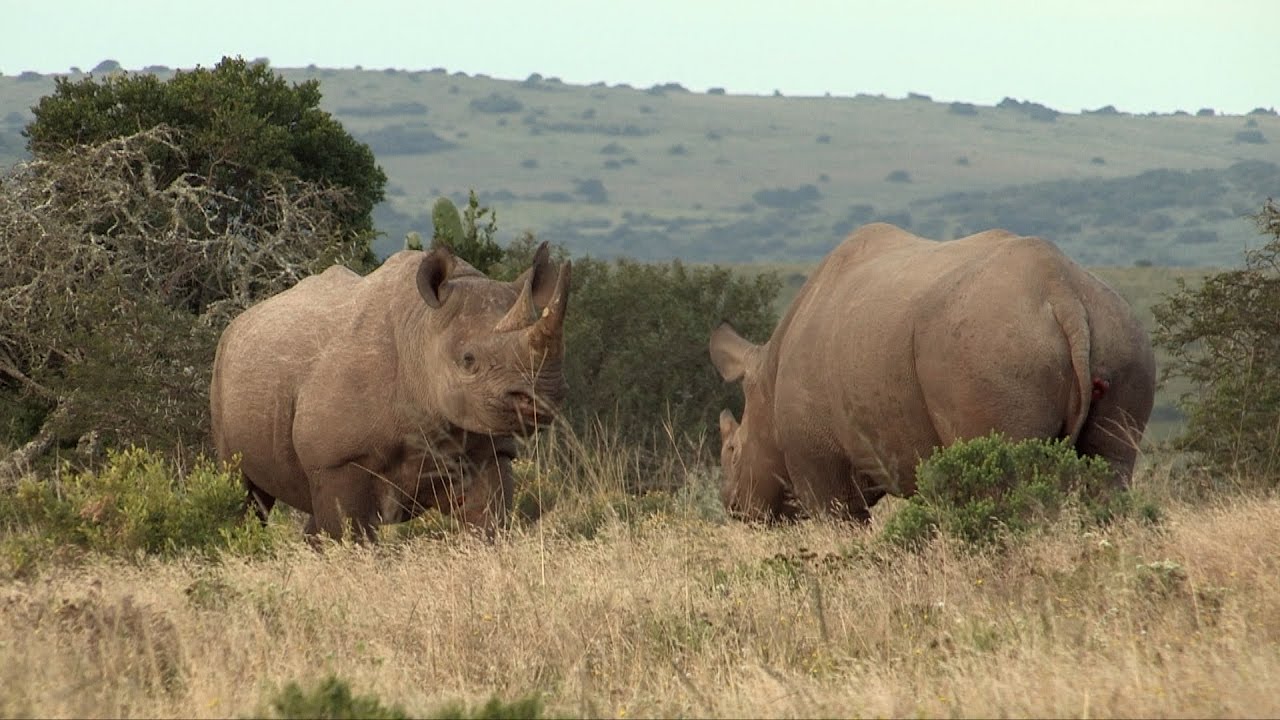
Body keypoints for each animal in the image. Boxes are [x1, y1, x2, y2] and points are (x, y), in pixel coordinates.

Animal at [210, 242, 571, 540]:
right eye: (468, 361)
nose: (542, 396)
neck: (422, 330)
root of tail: (238, 322)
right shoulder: (337, 459)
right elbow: (349, 535)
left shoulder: (489, 448)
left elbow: (486, 523)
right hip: (222, 367)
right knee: (245, 490)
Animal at [709, 223, 1155, 522]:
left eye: (731, 450)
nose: (732, 506)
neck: (766, 377)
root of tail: (1062, 293)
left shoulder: (818, 460)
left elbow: (835, 519)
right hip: (1122, 335)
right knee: (1113, 467)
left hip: (991, 349)